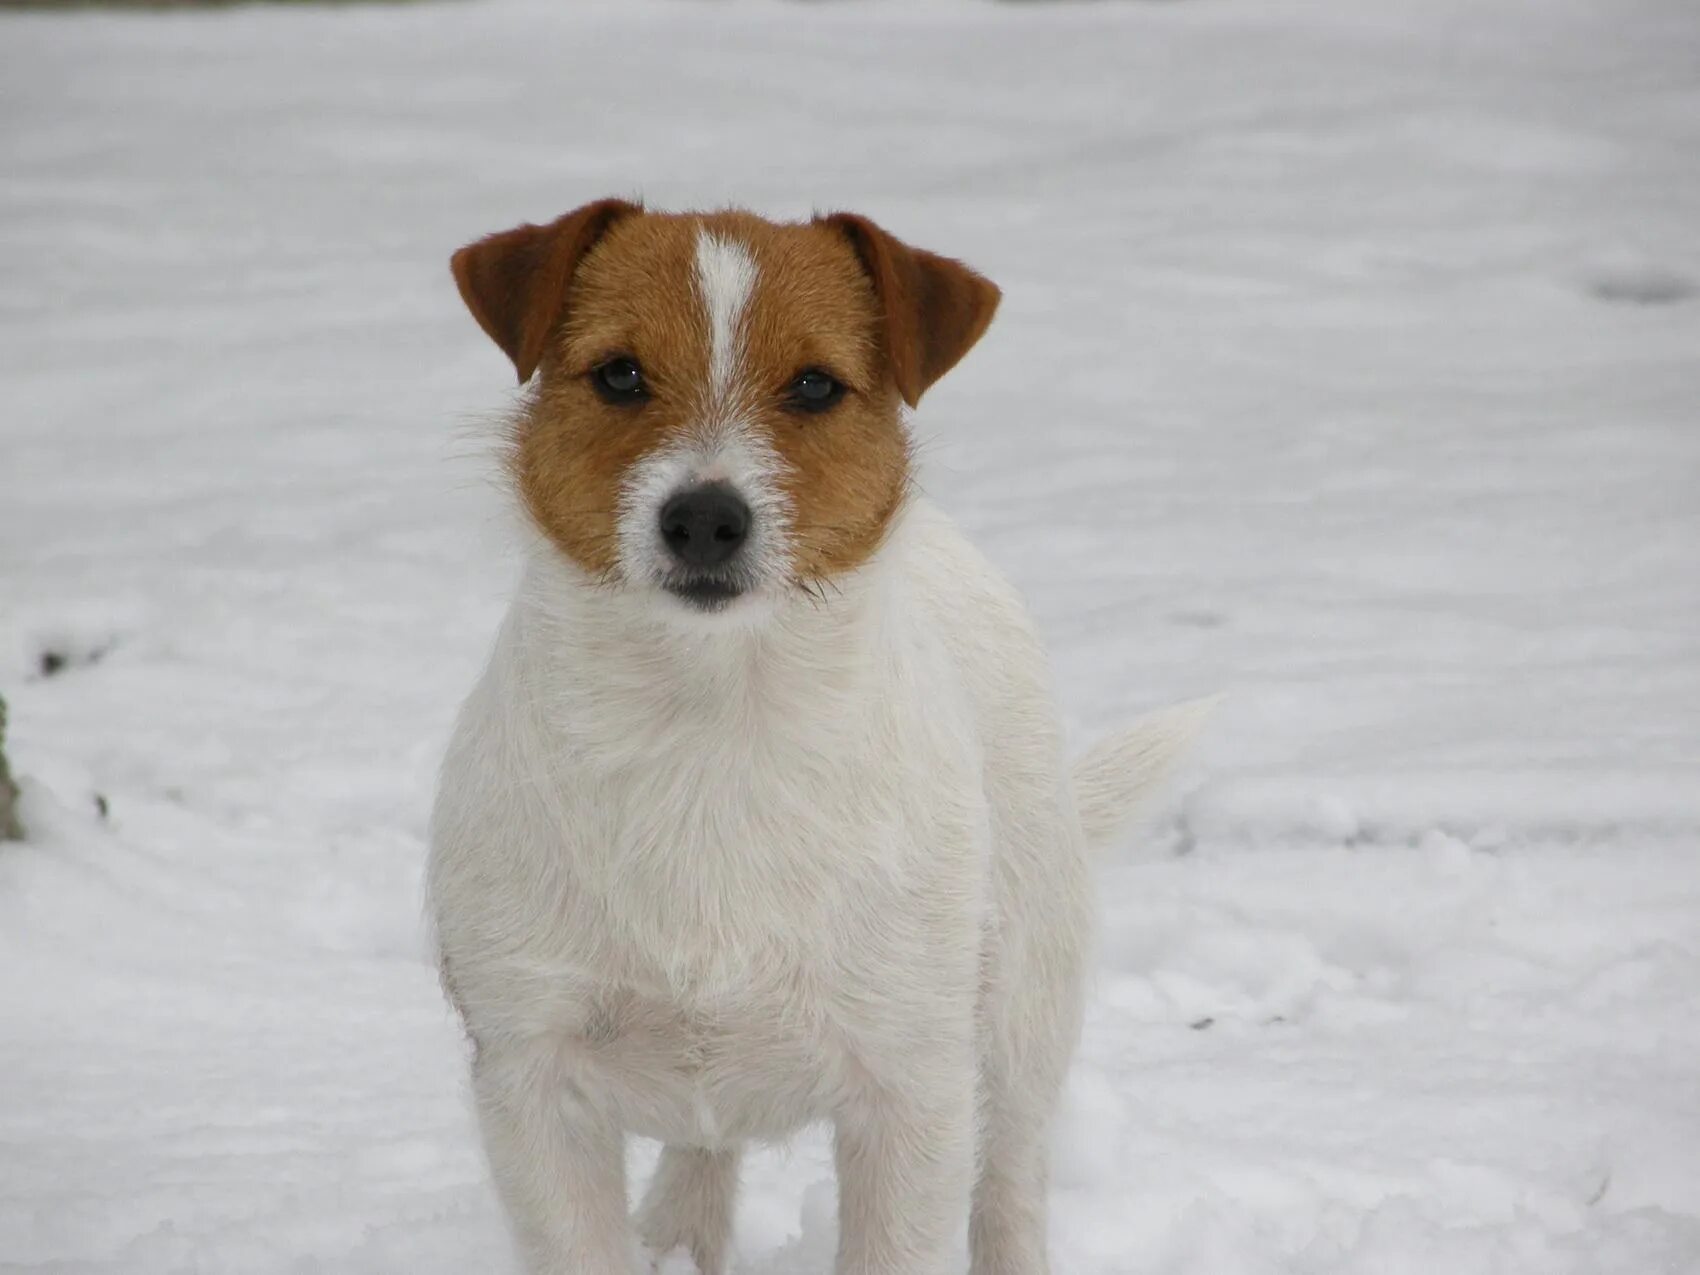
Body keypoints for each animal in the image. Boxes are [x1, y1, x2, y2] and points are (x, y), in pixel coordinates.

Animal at [431, 202, 1203, 1275]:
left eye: (814, 385)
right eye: (620, 373)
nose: (703, 518)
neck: (708, 728)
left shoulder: (912, 1089)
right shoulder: (531, 1077)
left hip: (1018, 1022)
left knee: (1011, 1187)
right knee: (700, 1161)